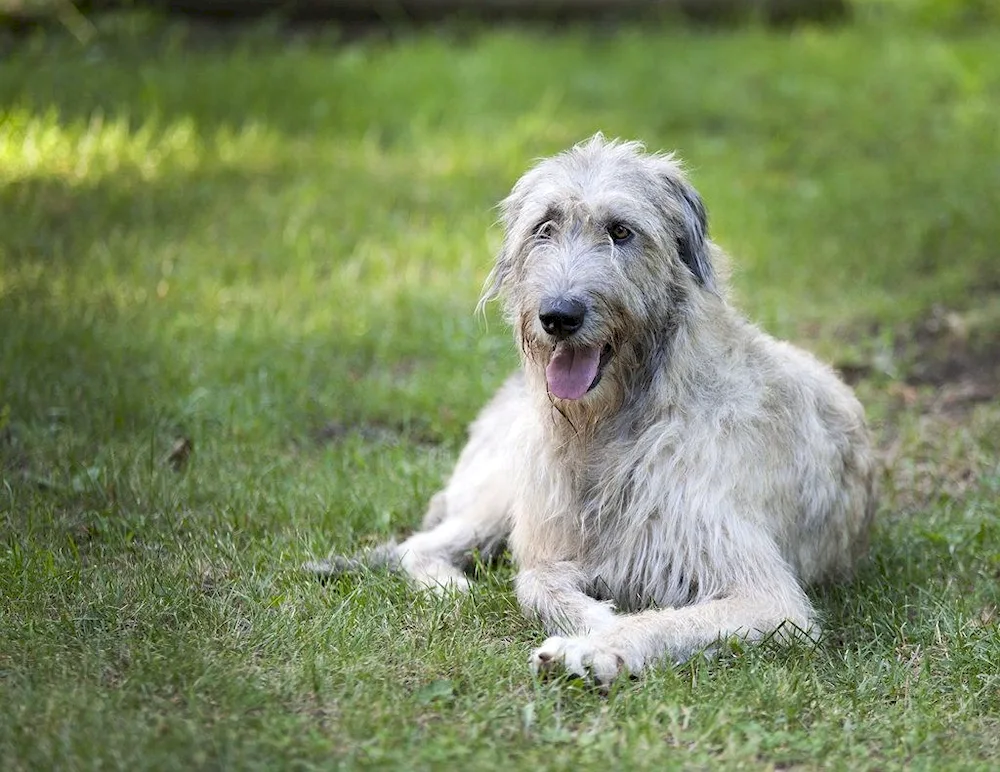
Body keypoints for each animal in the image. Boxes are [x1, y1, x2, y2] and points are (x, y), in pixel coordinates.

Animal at [310, 136, 876, 684]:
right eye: (544, 227)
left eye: (621, 231)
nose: (558, 316)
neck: (613, 425)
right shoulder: (552, 533)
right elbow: (534, 578)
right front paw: (596, 622)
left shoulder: (764, 595)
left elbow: (672, 618)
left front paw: (598, 647)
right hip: (501, 487)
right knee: (420, 546)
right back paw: (450, 587)